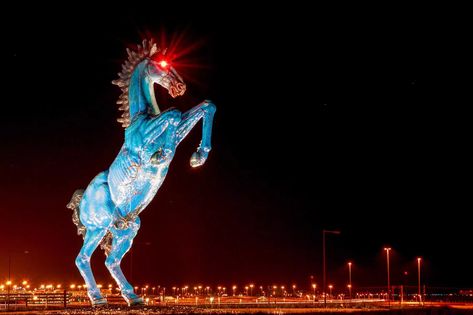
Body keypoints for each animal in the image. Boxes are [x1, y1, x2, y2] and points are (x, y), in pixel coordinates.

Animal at [67, 39, 216, 306]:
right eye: (163, 64)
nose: (180, 86)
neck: (141, 119)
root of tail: (80, 201)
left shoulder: (179, 130)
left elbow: (203, 108)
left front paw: (198, 157)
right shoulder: (148, 139)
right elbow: (173, 114)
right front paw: (162, 155)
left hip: (126, 227)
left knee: (110, 260)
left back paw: (132, 296)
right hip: (99, 227)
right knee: (82, 259)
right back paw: (98, 299)